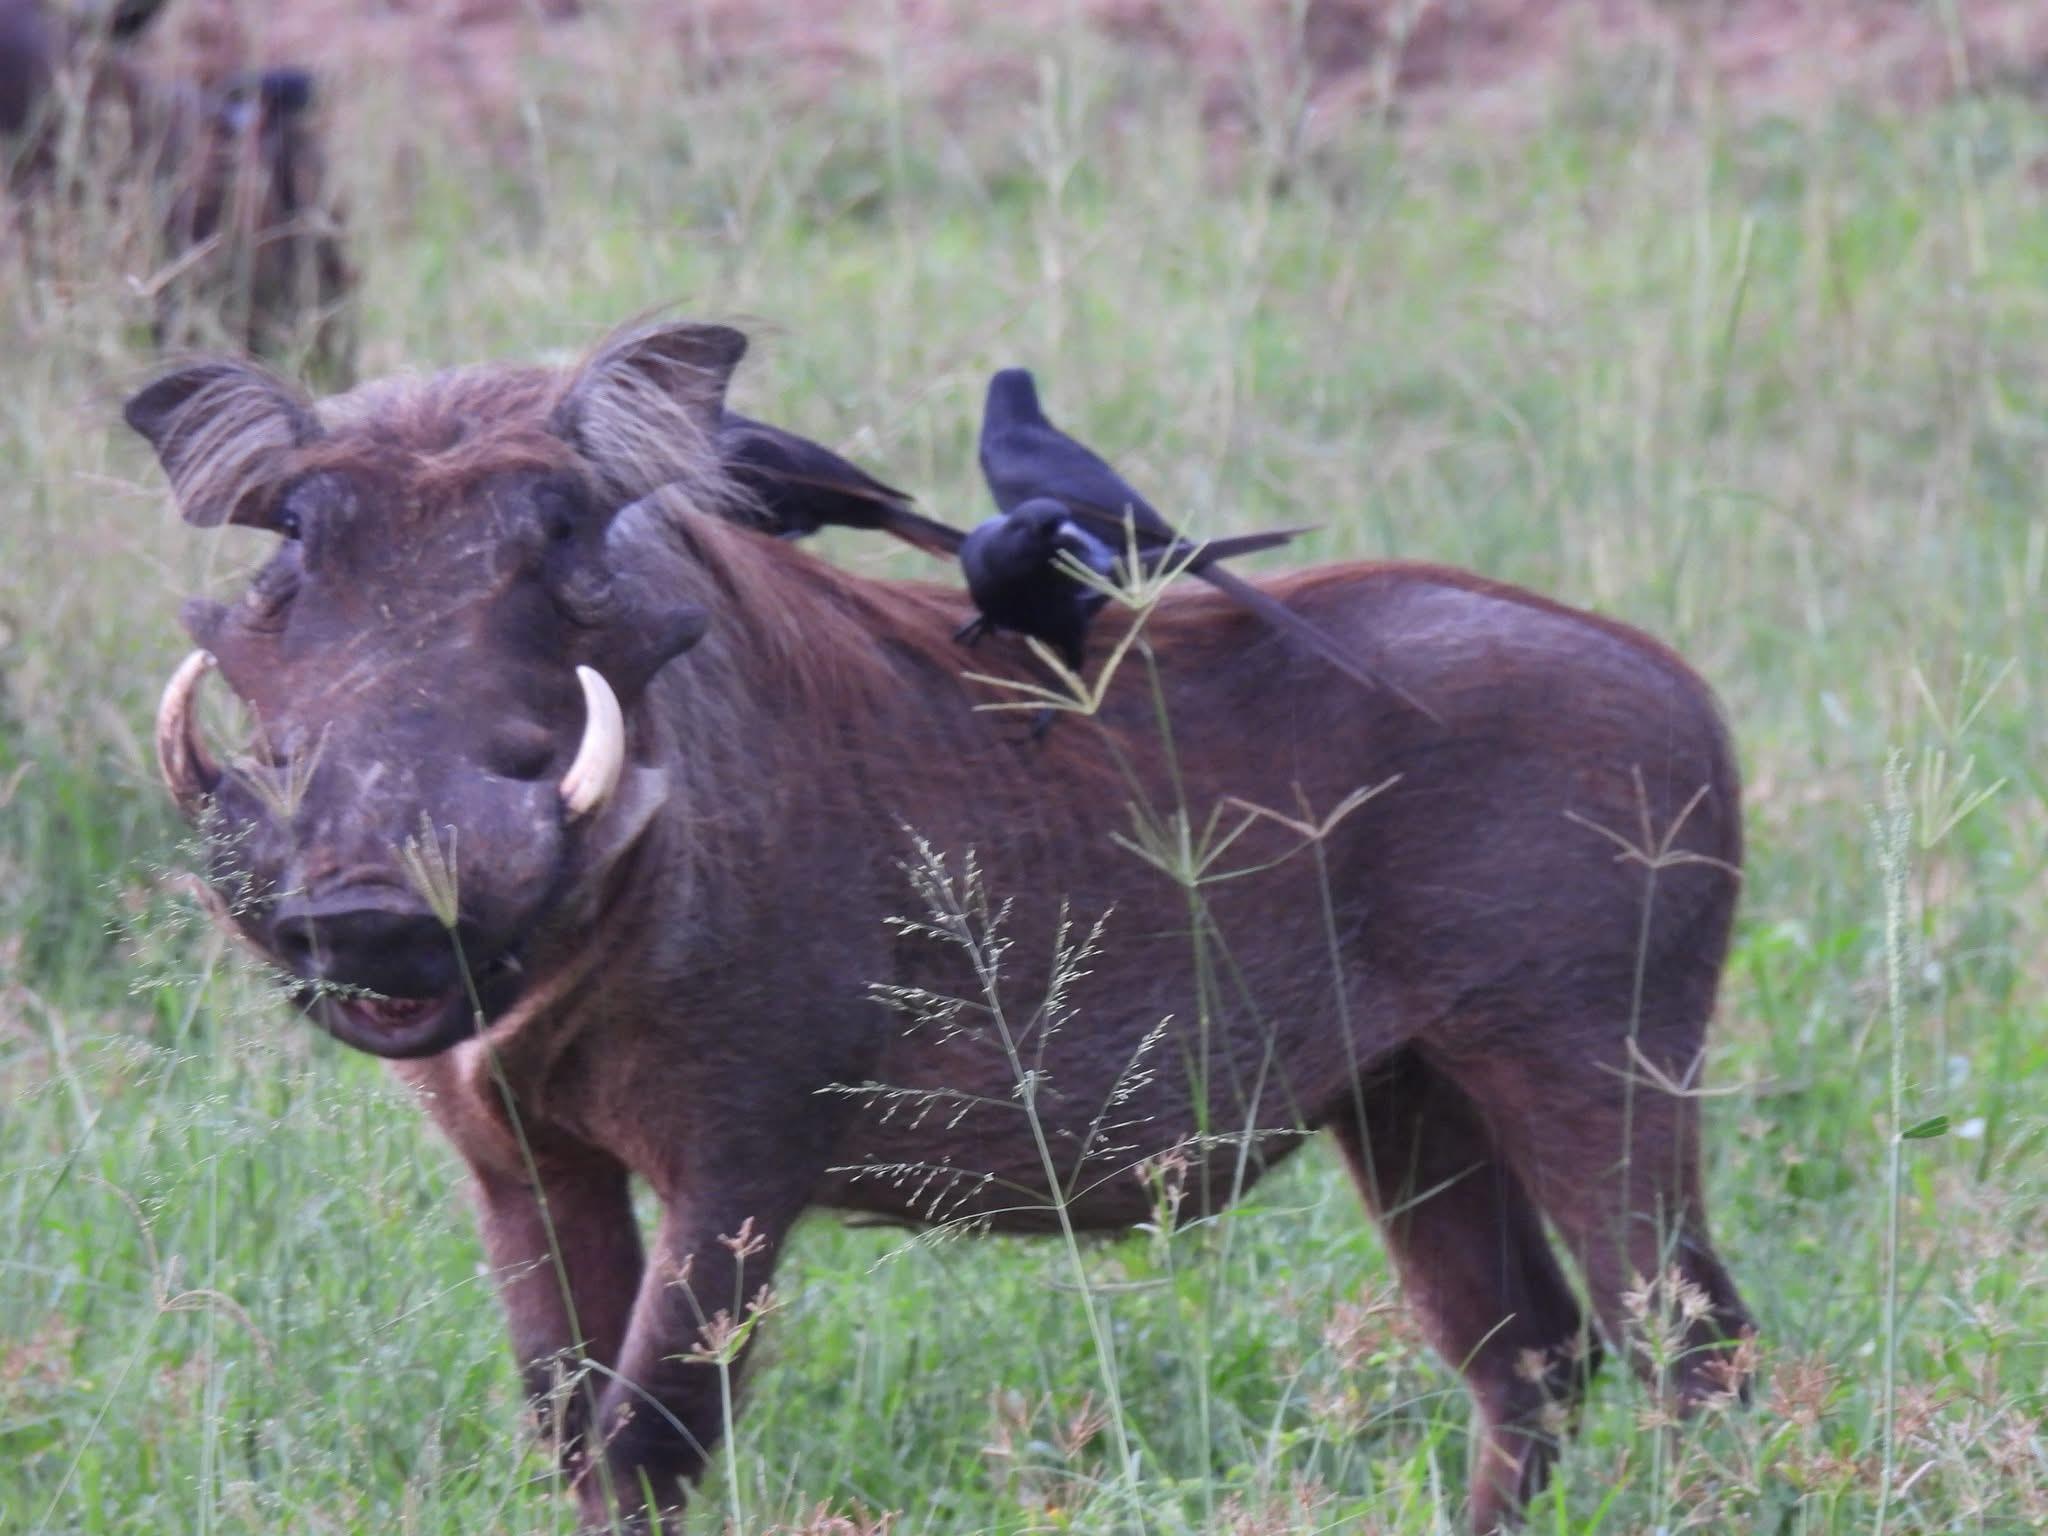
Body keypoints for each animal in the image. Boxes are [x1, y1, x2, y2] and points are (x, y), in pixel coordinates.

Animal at [127, 319, 1752, 1532]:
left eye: (564, 534)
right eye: (291, 548)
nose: (375, 911)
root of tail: (1682, 684)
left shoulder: (743, 1157)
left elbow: (649, 1446)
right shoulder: (517, 1160)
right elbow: (566, 1426)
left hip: (1591, 1057)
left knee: (1690, 1346)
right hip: (1409, 1098)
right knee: (1525, 1358)